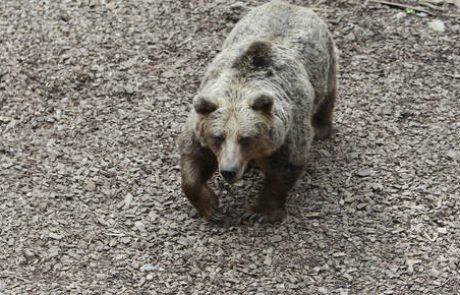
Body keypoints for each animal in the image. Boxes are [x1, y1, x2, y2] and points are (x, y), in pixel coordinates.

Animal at [176, 0, 338, 224]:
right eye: (218, 137)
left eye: (246, 138)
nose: (228, 171)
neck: (241, 86)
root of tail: (293, 6)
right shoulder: (203, 123)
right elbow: (194, 158)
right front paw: (212, 206)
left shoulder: (287, 136)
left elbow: (284, 171)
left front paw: (259, 212)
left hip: (324, 60)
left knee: (328, 93)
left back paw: (322, 128)